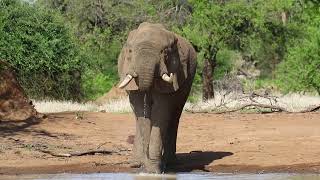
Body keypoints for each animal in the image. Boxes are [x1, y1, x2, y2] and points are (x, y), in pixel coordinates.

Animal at [117, 22, 198, 173]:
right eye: (130, 51)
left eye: (165, 53)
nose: (145, 165)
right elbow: (141, 112)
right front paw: (146, 166)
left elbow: (161, 112)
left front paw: (154, 170)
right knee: (138, 117)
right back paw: (135, 163)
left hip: (188, 81)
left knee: (175, 116)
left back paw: (170, 163)